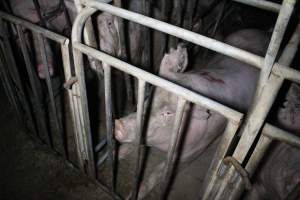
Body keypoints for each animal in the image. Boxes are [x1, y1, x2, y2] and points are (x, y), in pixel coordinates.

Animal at [113, 28, 270, 198]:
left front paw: (133, 196)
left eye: (168, 113)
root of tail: (262, 32)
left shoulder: (191, 153)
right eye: (149, 95)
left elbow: (157, 174)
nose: (119, 124)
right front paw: (114, 154)